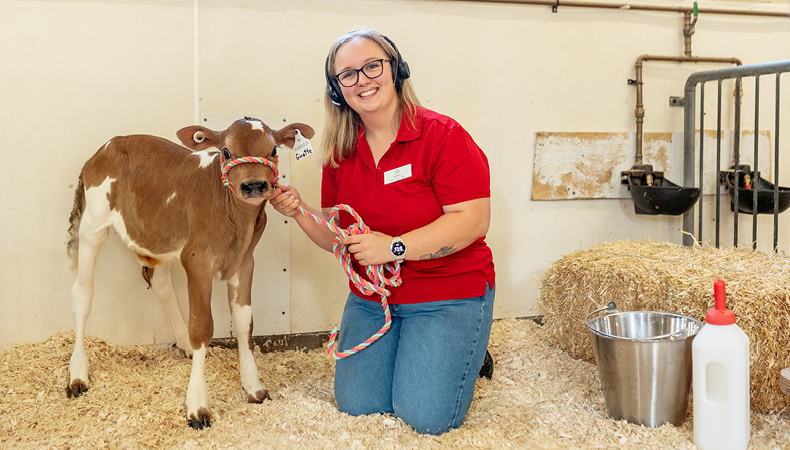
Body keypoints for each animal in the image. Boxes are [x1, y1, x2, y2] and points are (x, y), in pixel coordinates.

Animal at [67, 118, 316, 428]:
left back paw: (183, 343)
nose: (254, 185)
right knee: (82, 293)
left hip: (157, 238)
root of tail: (107, 146)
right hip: (93, 224)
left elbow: (244, 323)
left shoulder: (245, 261)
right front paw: (197, 405)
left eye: (272, 149)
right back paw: (77, 374)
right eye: (226, 151)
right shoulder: (198, 260)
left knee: (161, 286)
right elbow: (202, 326)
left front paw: (254, 388)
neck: (237, 224)